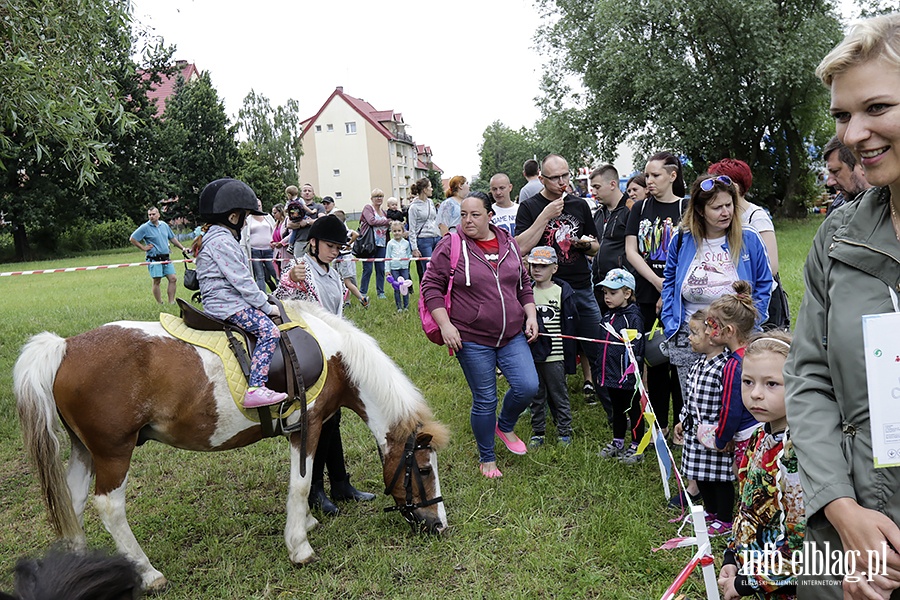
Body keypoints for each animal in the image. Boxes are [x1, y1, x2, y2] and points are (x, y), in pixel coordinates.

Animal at [14, 300, 450, 592]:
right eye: (423, 469)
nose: (439, 525)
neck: (333, 355)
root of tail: (65, 346)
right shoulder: (305, 428)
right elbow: (300, 484)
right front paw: (300, 546)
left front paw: (307, 523)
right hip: (113, 452)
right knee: (109, 506)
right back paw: (148, 573)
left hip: (85, 450)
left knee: (72, 502)